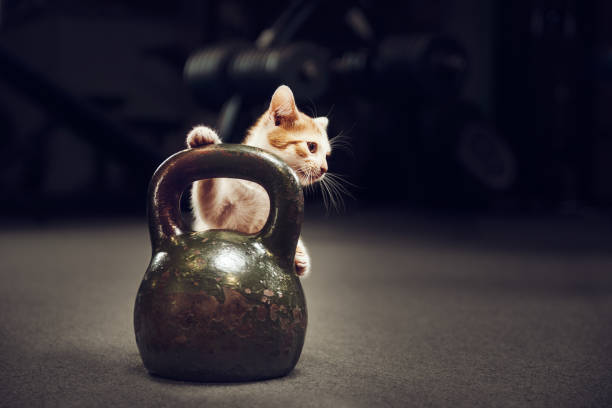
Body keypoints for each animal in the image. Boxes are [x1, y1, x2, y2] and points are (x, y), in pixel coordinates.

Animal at [185, 86, 330, 278]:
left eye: (327, 155)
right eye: (312, 147)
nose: (324, 168)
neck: (260, 190)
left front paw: (300, 256)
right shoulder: (217, 218)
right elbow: (208, 200)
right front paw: (204, 136)